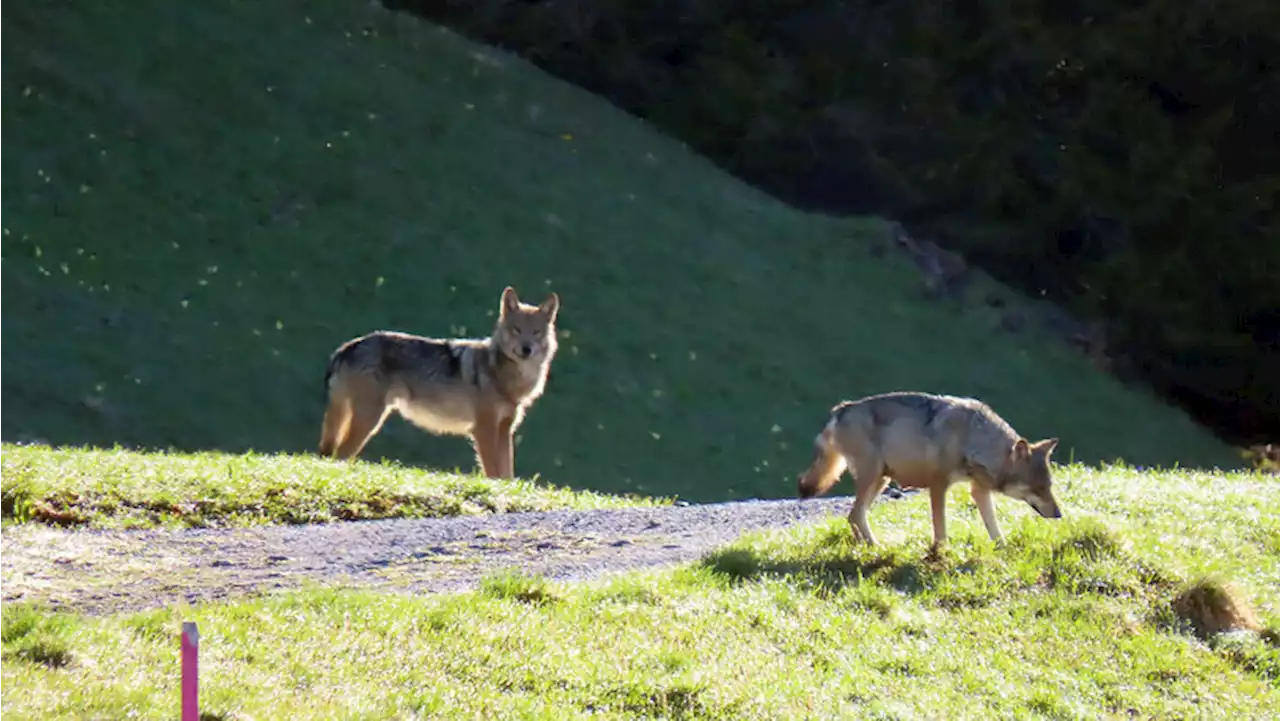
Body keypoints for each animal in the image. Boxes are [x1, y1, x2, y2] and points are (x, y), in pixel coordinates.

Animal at [317, 286, 558, 478]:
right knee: (339, 455)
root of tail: (346, 348)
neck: (503, 375)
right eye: (516, 330)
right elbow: (492, 471)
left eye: (536, 332)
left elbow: (506, 473)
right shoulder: (483, 429)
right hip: (370, 420)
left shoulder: (505, 429)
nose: (526, 349)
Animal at [798, 394, 1059, 548]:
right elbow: (940, 528)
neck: (971, 438)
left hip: (881, 479)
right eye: (1037, 488)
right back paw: (874, 548)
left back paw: (868, 547)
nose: (1058, 515)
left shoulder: (979, 491)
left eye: (1049, 486)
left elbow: (994, 528)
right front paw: (942, 554)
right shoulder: (938, 485)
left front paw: (1003, 550)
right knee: (855, 513)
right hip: (873, 477)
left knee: (854, 515)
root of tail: (839, 410)